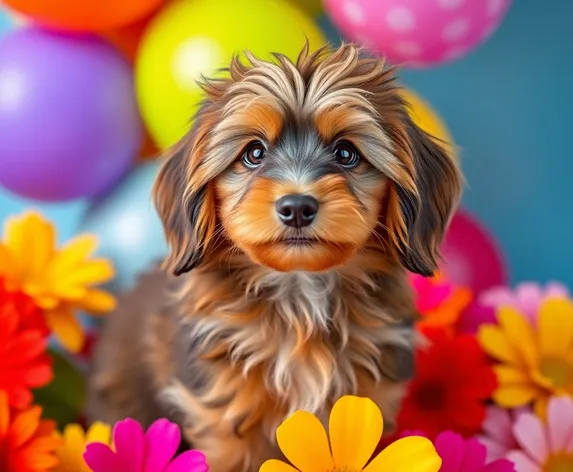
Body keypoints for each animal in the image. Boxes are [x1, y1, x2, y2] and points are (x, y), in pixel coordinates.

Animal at [90, 44, 464, 472]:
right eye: (254, 153)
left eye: (346, 153)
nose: (297, 206)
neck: (301, 292)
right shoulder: (226, 411)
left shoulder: (369, 397)